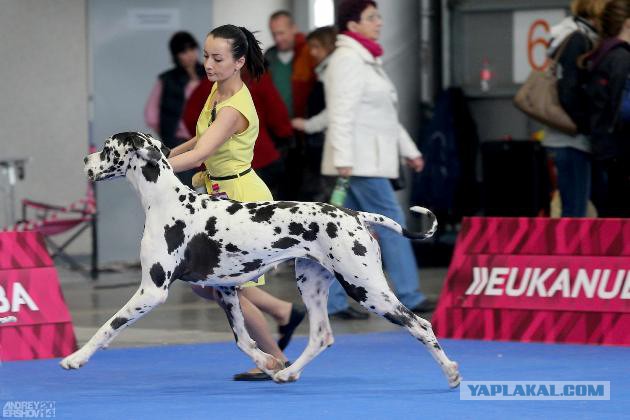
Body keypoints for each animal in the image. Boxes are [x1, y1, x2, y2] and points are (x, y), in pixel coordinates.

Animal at [60, 131, 464, 388]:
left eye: (108, 148)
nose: (83, 159)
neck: (164, 201)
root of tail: (355, 214)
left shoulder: (152, 291)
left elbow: (109, 326)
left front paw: (77, 357)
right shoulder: (225, 291)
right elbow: (243, 340)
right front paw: (268, 363)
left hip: (366, 288)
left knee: (420, 325)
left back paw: (451, 373)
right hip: (311, 284)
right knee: (321, 335)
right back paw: (287, 373)